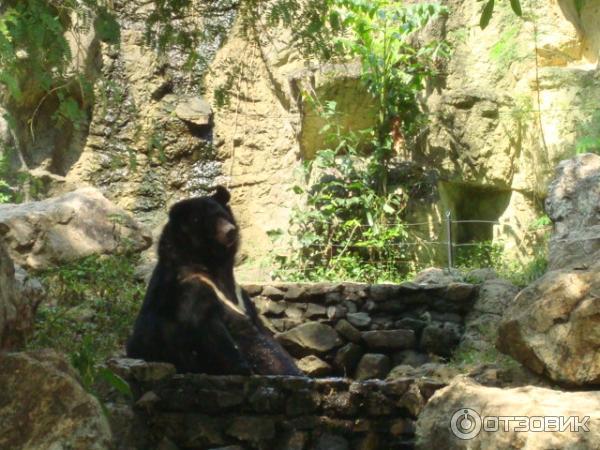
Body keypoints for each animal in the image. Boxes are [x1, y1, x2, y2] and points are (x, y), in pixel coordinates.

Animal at [128, 186, 302, 376]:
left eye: (224, 215)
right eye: (208, 221)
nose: (230, 231)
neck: (211, 263)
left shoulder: (241, 296)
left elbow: (268, 340)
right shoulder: (190, 287)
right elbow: (208, 328)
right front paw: (242, 368)